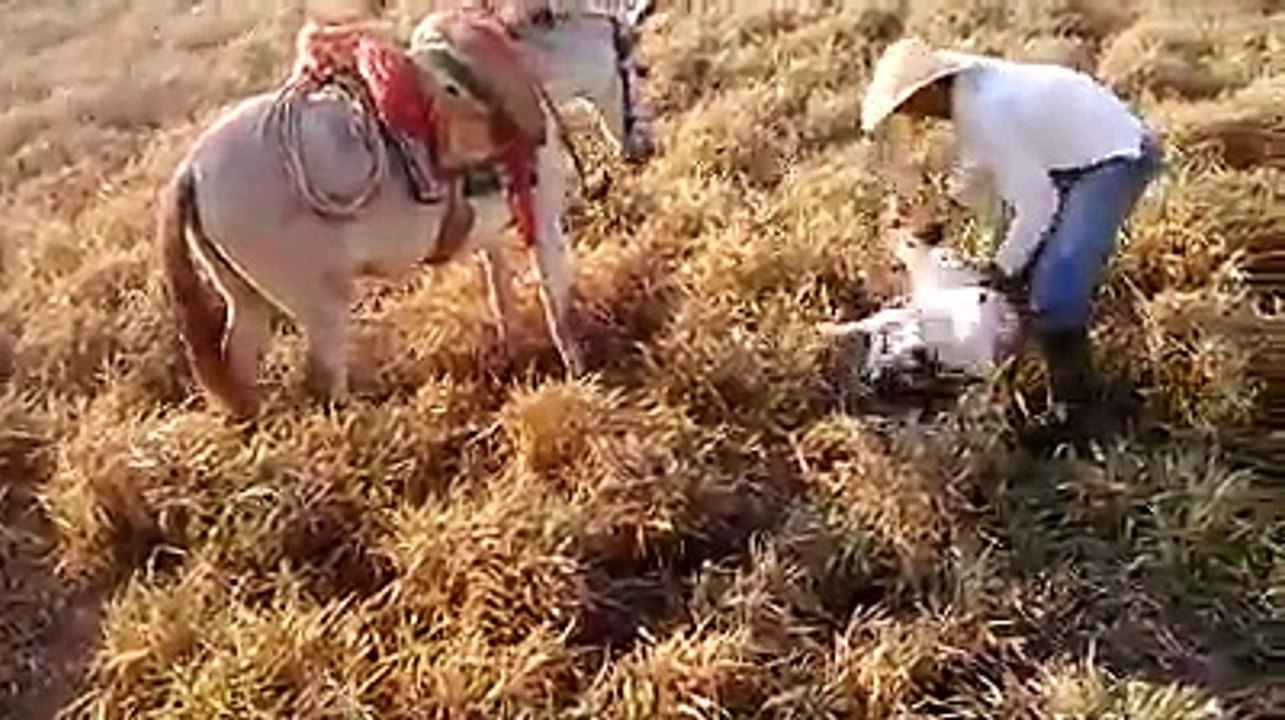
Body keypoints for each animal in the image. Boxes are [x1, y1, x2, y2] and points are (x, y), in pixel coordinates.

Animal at [157, 14, 641, 419]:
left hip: (245, 297)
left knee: (241, 361)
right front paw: (580, 369)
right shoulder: (542, 218)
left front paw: (514, 354)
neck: (526, 79)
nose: (642, 148)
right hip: (320, 304)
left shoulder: (489, 233)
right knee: (323, 379)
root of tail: (191, 169)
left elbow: (500, 291)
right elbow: (555, 296)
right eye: (641, 71)